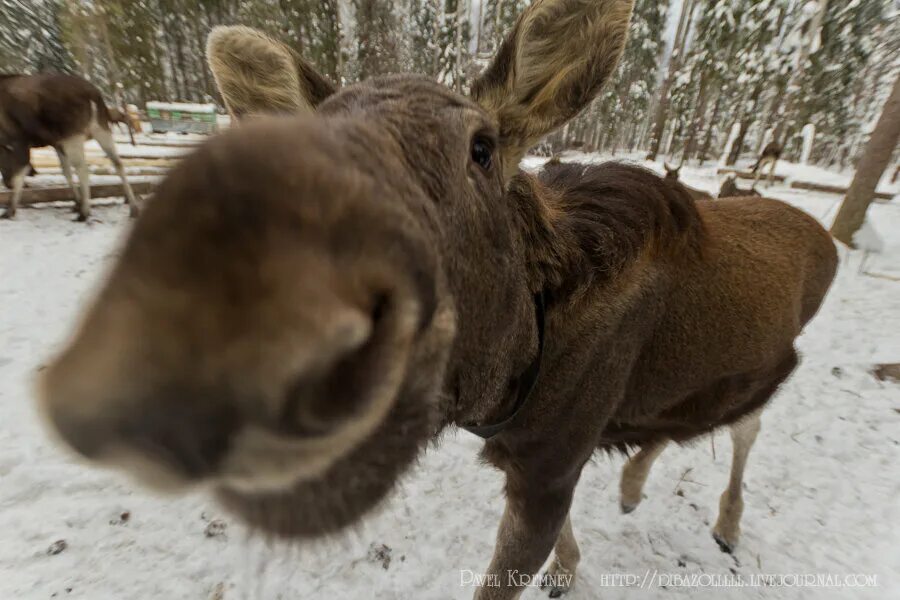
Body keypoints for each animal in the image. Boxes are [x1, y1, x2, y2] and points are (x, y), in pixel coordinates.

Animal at [0, 71, 139, 219]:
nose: (7, 183)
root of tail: (93, 95)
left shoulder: (20, 140)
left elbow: (20, 174)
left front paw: (10, 210)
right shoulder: (56, 143)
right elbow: (66, 172)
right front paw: (76, 203)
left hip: (73, 137)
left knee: (83, 168)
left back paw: (85, 212)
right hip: (101, 129)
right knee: (118, 163)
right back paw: (133, 208)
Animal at [37, 1, 836, 600]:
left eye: (481, 148)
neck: (512, 372)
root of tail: (826, 239)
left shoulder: (552, 458)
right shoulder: (535, 459)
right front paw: (572, 564)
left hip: (774, 362)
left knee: (744, 427)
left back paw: (725, 520)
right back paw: (636, 486)